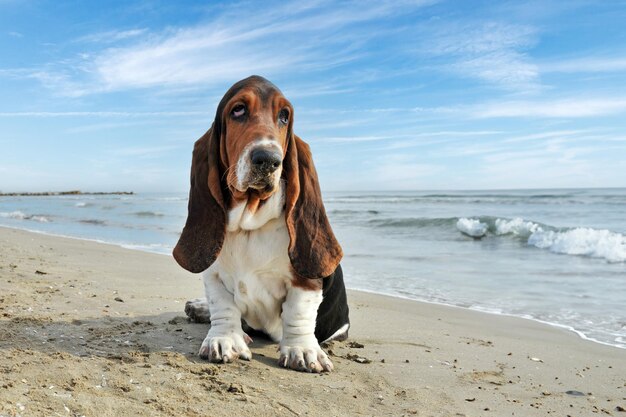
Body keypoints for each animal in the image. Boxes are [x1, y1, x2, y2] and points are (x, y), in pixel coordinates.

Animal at [173, 75, 348, 374]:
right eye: (238, 110)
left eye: (284, 116)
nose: (268, 159)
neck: (249, 226)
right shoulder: (213, 274)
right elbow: (223, 305)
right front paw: (225, 339)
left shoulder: (306, 281)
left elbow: (298, 311)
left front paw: (302, 350)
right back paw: (200, 308)